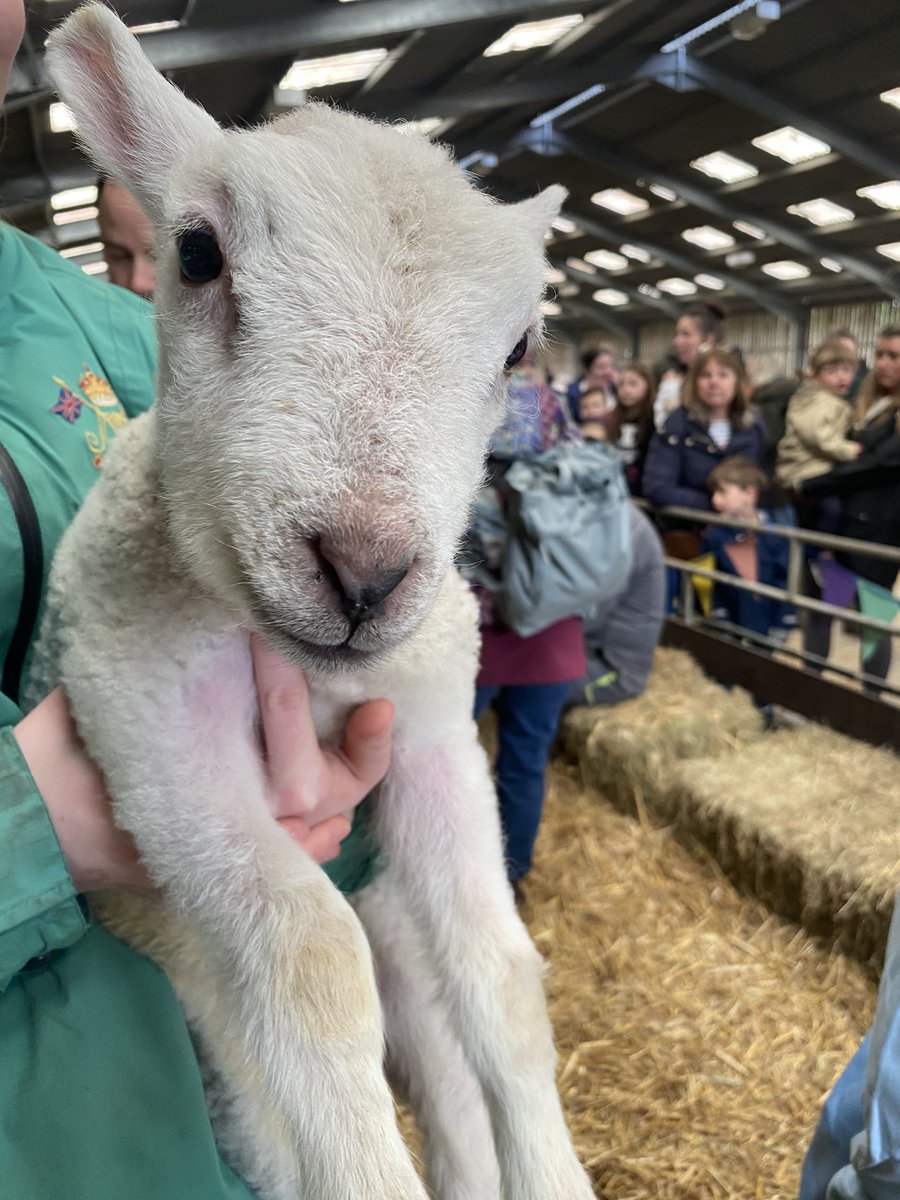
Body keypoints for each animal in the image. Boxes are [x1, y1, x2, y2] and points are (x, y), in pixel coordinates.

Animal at [34, 7, 594, 1200]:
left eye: (520, 346)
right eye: (198, 252)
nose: (363, 572)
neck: (308, 668)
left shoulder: (432, 730)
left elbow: (504, 982)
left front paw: (554, 1174)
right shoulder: (153, 736)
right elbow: (309, 962)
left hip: (392, 910)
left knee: (439, 1047)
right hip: (208, 1012)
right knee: (275, 1113)